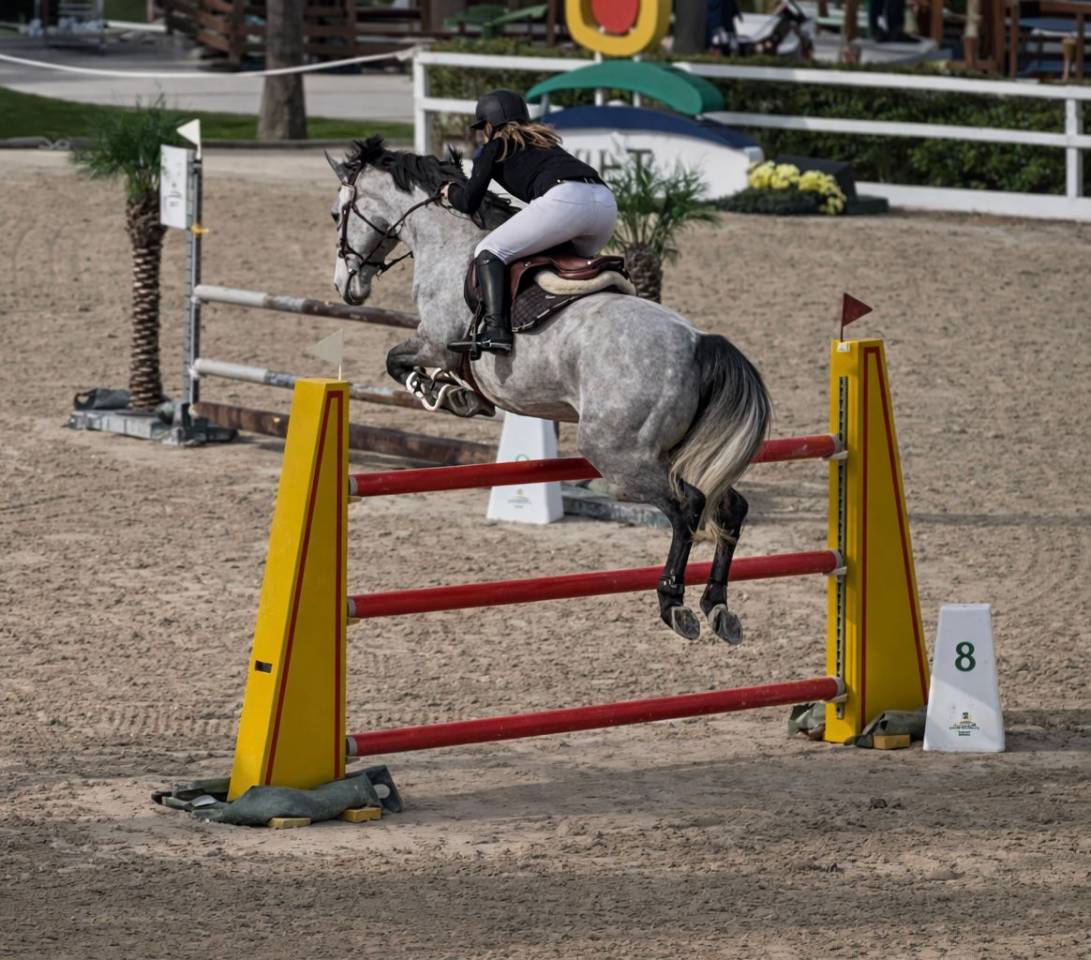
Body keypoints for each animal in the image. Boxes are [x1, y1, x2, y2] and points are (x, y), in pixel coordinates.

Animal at [327, 137, 771, 644]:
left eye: (338, 214)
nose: (345, 286)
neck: (449, 239)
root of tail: (700, 344)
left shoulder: (435, 341)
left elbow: (396, 360)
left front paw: (438, 390)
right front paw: (462, 396)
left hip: (619, 454)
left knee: (687, 507)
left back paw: (674, 604)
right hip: (671, 450)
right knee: (730, 507)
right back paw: (717, 605)